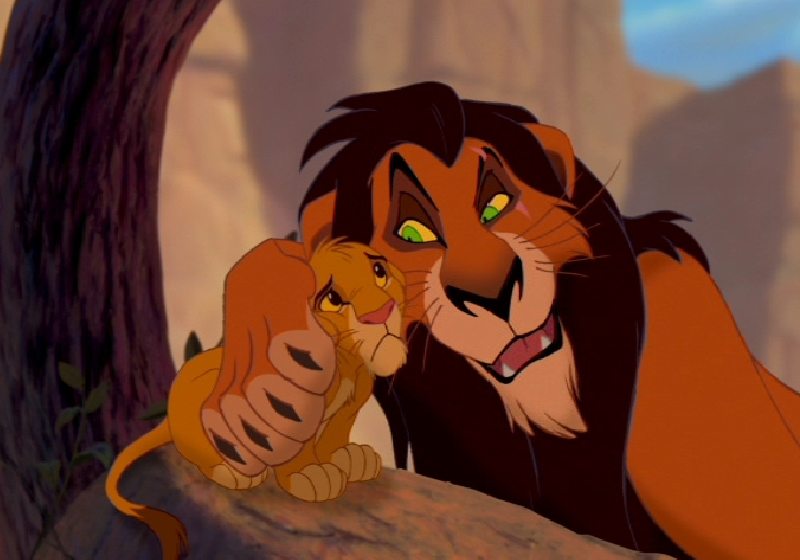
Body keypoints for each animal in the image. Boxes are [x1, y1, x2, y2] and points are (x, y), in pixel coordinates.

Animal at [105, 238, 407, 560]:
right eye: (333, 299)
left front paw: (350, 457)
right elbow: (301, 452)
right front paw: (312, 474)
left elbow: (334, 436)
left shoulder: (347, 411)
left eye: (379, 272)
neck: (350, 363)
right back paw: (233, 472)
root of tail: (170, 415)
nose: (381, 314)